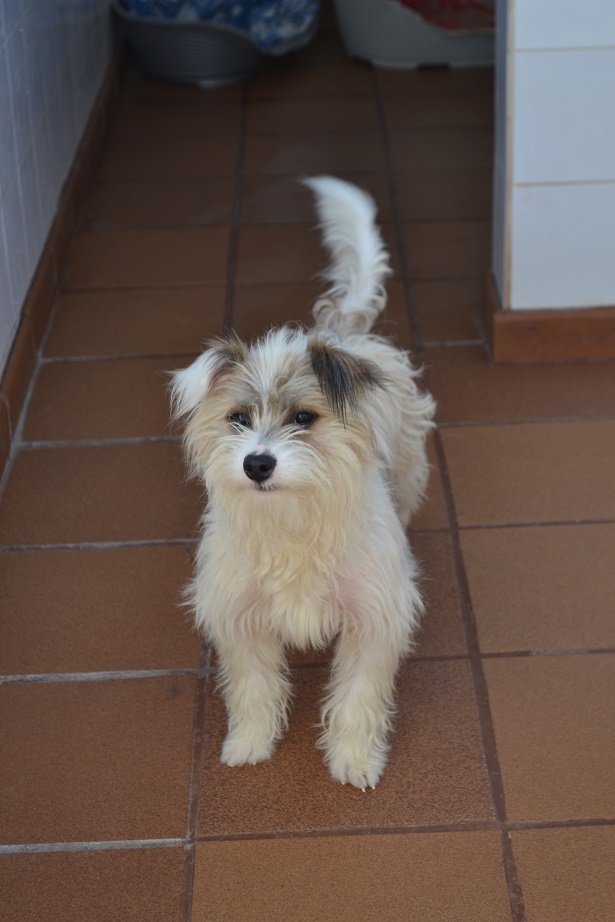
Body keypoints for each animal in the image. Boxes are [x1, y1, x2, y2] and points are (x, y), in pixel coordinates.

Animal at [171, 176, 436, 790]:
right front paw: (249, 744)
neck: (293, 517)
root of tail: (335, 333)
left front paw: (354, 759)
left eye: (303, 418)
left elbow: (358, 696)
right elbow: (252, 688)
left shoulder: (372, 617)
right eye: (238, 418)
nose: (257, 464)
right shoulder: (239, 617)